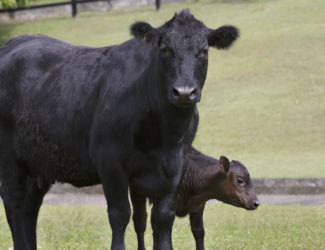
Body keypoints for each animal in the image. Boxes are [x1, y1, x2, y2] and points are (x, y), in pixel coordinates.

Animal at [0, 9, 238, 250]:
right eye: (164, 49)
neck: (165, 135)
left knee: (30, 208)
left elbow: (163, 217)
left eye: (204, 51)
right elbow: (120, 213)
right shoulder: (110, 160)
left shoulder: (177, 164)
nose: (184, 92)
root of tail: (16, 42)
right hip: (9, 159)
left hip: (38, 162)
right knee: (14, 204)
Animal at [129, 146, 258, 250]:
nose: (256, 202)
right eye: (240, 180)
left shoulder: (198, 206)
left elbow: (199, 231)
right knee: (140, 221)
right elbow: (161, 230)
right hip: (137, 192)